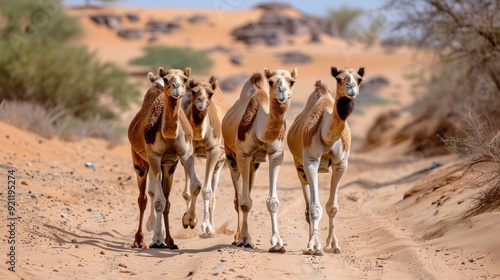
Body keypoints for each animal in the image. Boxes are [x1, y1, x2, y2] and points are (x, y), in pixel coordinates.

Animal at [128, 66, 202, 248]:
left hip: (167, 166)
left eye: (185, 79)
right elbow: (159, 201)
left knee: (161, 196)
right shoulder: (154, 156)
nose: (176, 88)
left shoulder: (184, 155)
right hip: (140, 161)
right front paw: (157, 239)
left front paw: (189, 221)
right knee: (144, 198)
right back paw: (140, 239)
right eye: (167, 78)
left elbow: (195, 186)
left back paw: (166, 239)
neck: (168, 135)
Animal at [182, 77, 230, 238]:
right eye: (193, 91)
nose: (201, 100)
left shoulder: (213, 151)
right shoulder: (188, 150)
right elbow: (194, 187)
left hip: (220, 161)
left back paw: (210, 230)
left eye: (210, 93)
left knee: (213, 194)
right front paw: (189, 219)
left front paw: (204, 226)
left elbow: (206, 190)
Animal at [220, 68, 296, 254]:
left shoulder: (276, 154)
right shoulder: (243, 154)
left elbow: (273, 201)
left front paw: (278, 243)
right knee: (238, 198)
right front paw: (245, 240)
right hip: (231, 155)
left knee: (247, 190)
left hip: (254, 164)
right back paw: (236, 237)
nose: (282, 92)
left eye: (291, 81)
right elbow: (245, 202)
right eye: (271, 81)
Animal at [288, 66, 366, 256]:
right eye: (339, 78)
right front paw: (314, 247)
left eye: (359, 79)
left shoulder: (341, 164)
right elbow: (315, 208)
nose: (351, 89)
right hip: (299, 166)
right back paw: (309, 245)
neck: (327, 137)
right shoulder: (310, 161)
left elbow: (332, 207)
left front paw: (333, 245)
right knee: (308, 207)